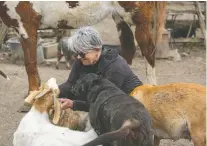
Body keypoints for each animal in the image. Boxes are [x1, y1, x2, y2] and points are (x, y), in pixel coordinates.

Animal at [0, 0, 166, 92]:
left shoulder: (26, 26)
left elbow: (30, 65)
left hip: (138, 18)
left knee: (148, 51)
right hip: (119, 16)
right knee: (128, 49)